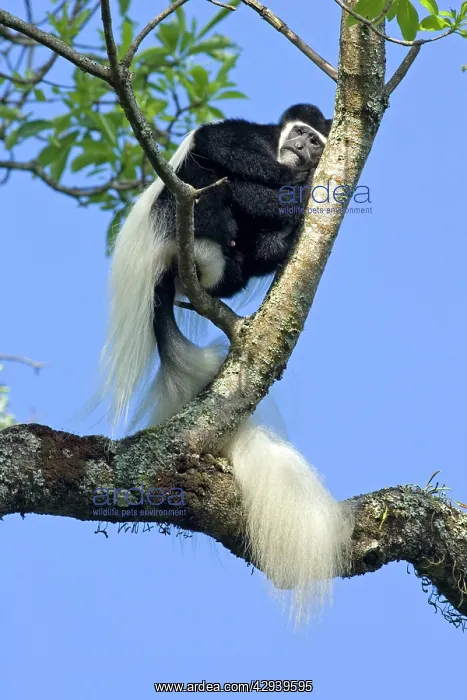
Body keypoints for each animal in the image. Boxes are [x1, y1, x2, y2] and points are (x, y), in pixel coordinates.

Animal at [100, 104, 352, 624]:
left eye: (317, 142)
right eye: (301, 134)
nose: (304, 151)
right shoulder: (250, 136)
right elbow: (214, 141)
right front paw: (290, 184)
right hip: (178, 211)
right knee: (214, 181)